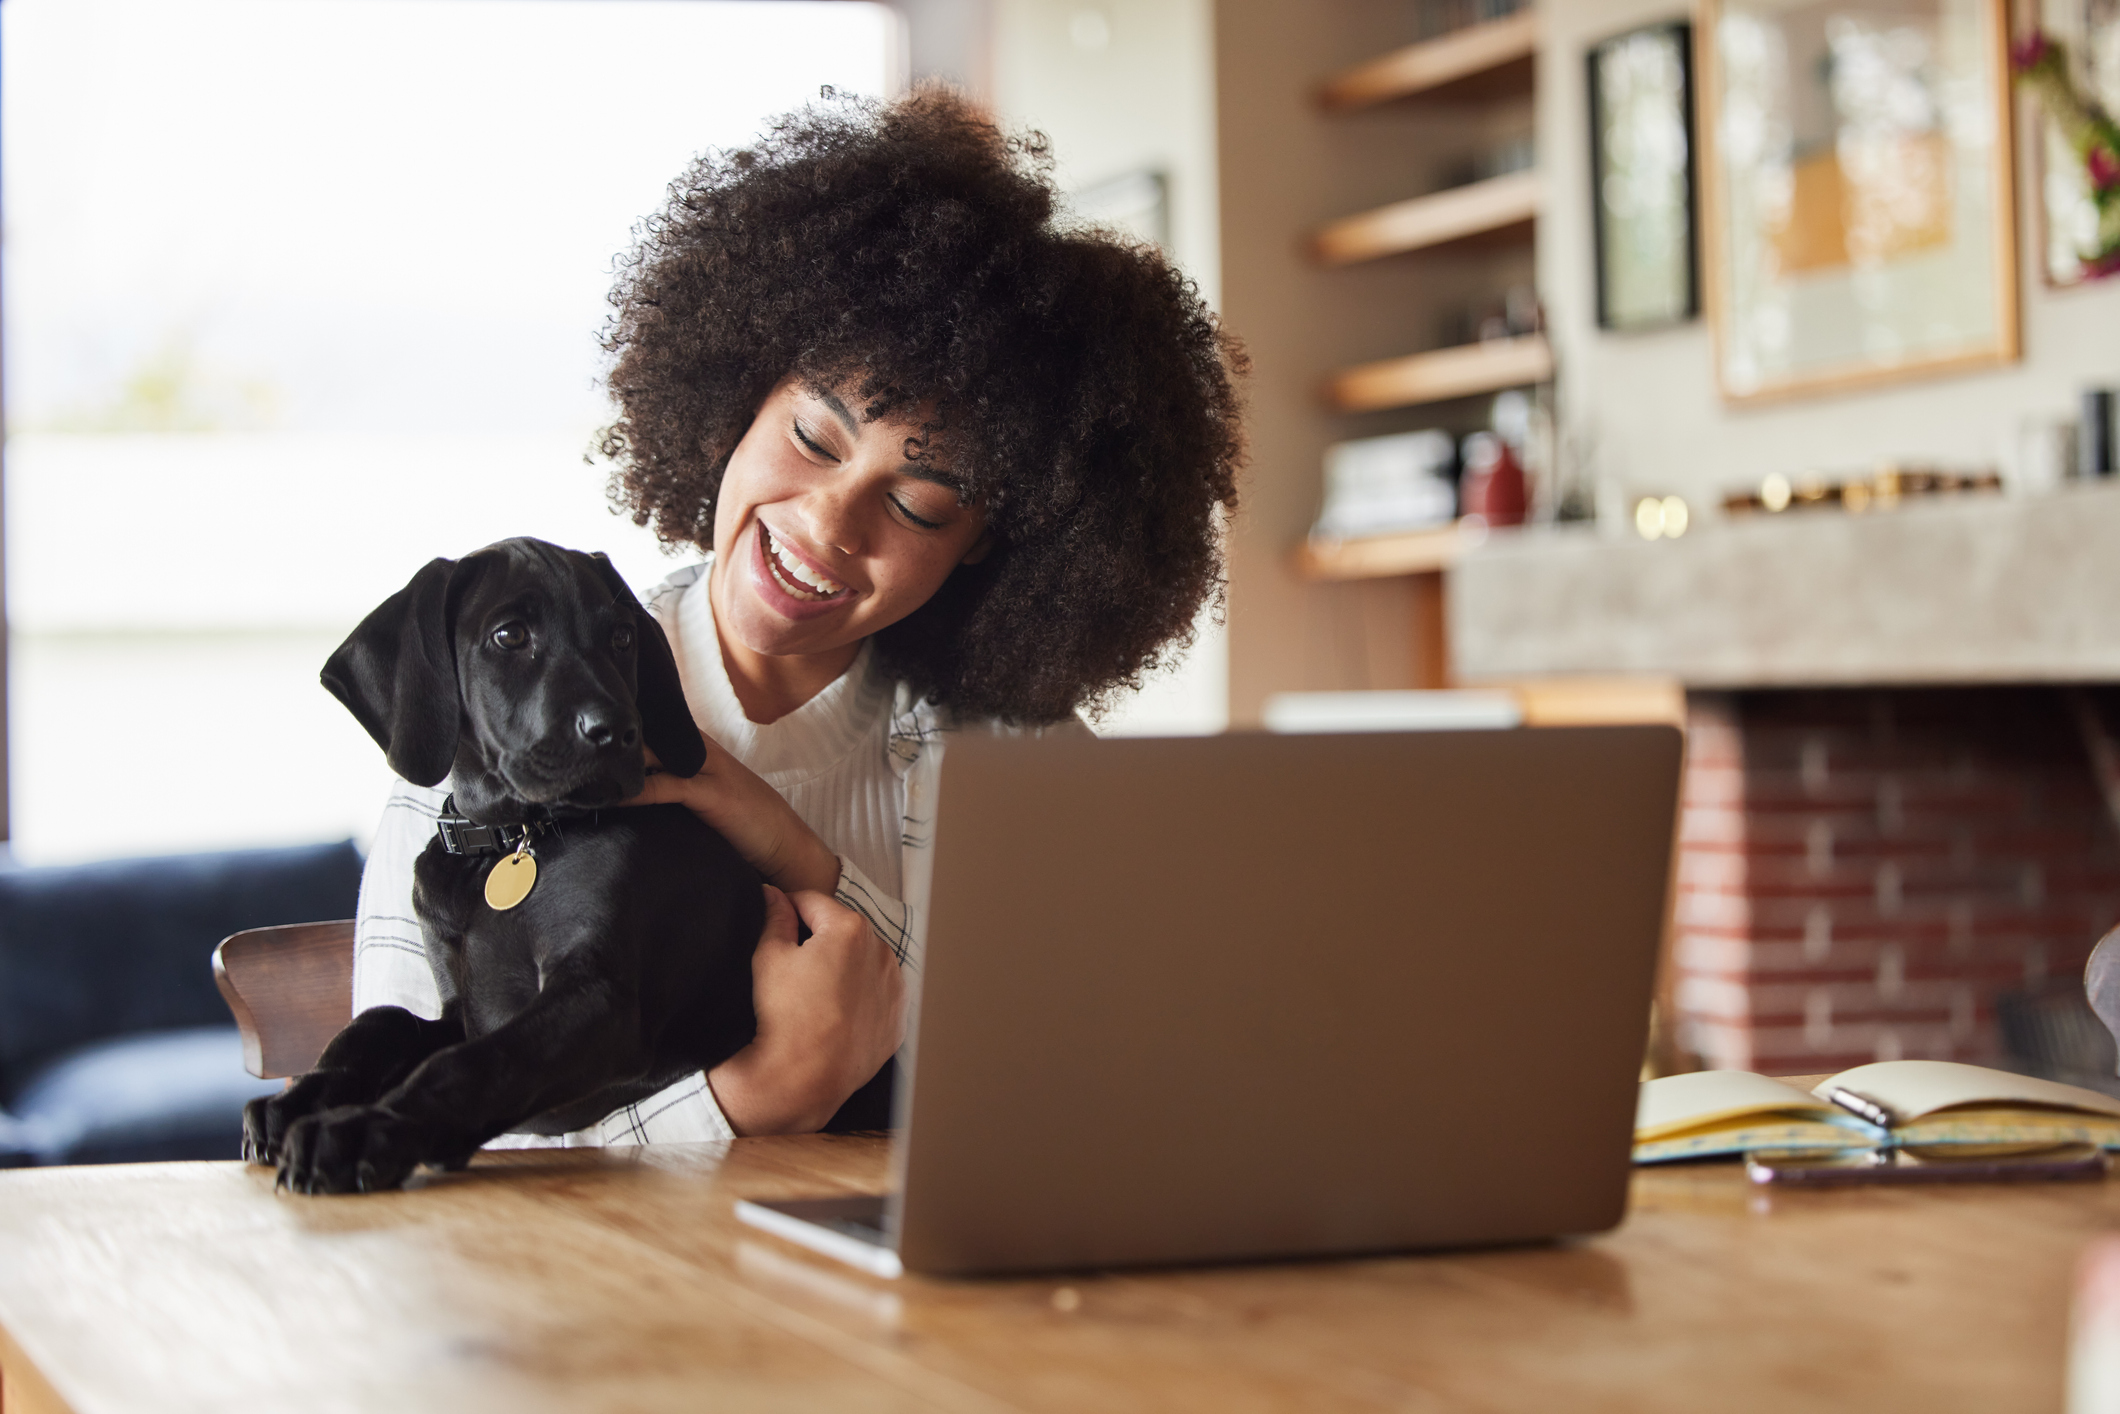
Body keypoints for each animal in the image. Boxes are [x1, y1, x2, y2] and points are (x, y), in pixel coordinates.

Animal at [246, 538, 767, 1195]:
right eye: (510, 635)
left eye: (622, 636)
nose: (619, 732)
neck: (510, 841)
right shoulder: (459, 1009)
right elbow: (385, 1021)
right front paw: (297, 1100)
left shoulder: (600, 995)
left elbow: (475, 1062)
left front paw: (366, 1128)